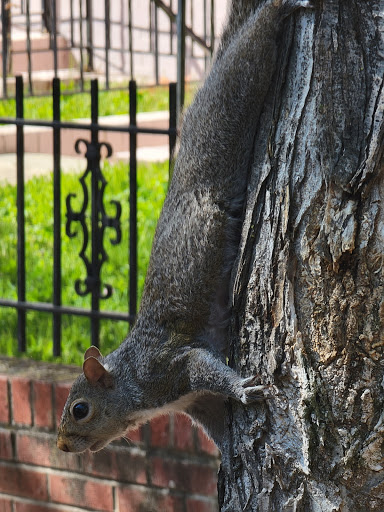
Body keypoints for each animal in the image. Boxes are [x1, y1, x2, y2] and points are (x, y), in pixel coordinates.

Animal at [58, 0, 314, 454]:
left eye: (80, 409)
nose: (63, 446)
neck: (130, 380)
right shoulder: (194, 402)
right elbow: (215, 420)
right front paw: (228, 451)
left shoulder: (170, 364)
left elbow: (204, 366)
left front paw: (243, 389)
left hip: (228, 108)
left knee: (247, 56)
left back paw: (278, 10)